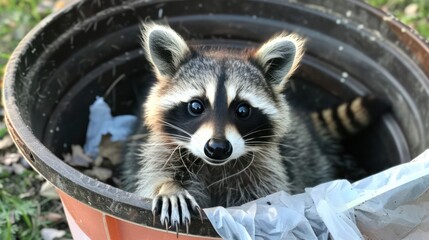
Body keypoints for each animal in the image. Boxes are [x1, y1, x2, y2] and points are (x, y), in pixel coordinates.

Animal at [119, 23, 388, 232]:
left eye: (242, 110)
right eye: (196, 106)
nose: (217, 148)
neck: (216, 166)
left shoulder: (267, 167)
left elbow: (269, 193)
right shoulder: (160, 149)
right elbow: (152, 174)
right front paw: (168, 187)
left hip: (311, 160)